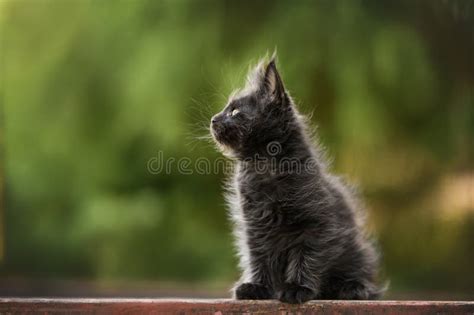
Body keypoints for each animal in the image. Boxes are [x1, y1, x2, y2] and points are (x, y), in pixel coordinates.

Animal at [209, 56, 384, 304]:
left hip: (358, 251)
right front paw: (258, 286)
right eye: (226, 109)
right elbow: (258, 256)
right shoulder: (254, 225)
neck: (263, 164)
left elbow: (305, 257)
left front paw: (297, 288)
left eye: (234, 111)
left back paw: (351, 288)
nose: (213, 119)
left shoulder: (316, 225)